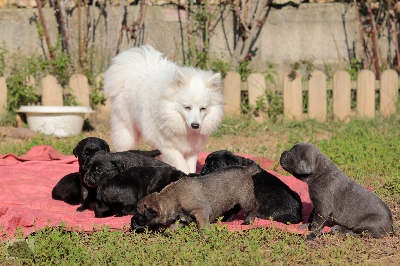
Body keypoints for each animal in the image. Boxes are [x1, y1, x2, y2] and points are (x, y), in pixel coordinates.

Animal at [104, 45, 225, 175]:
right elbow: (181, 163)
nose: (195, 125)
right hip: (126, 131)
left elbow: (190, 165)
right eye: (187, 107)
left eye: (203, 108)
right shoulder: (167, 145)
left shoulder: (191, 148)